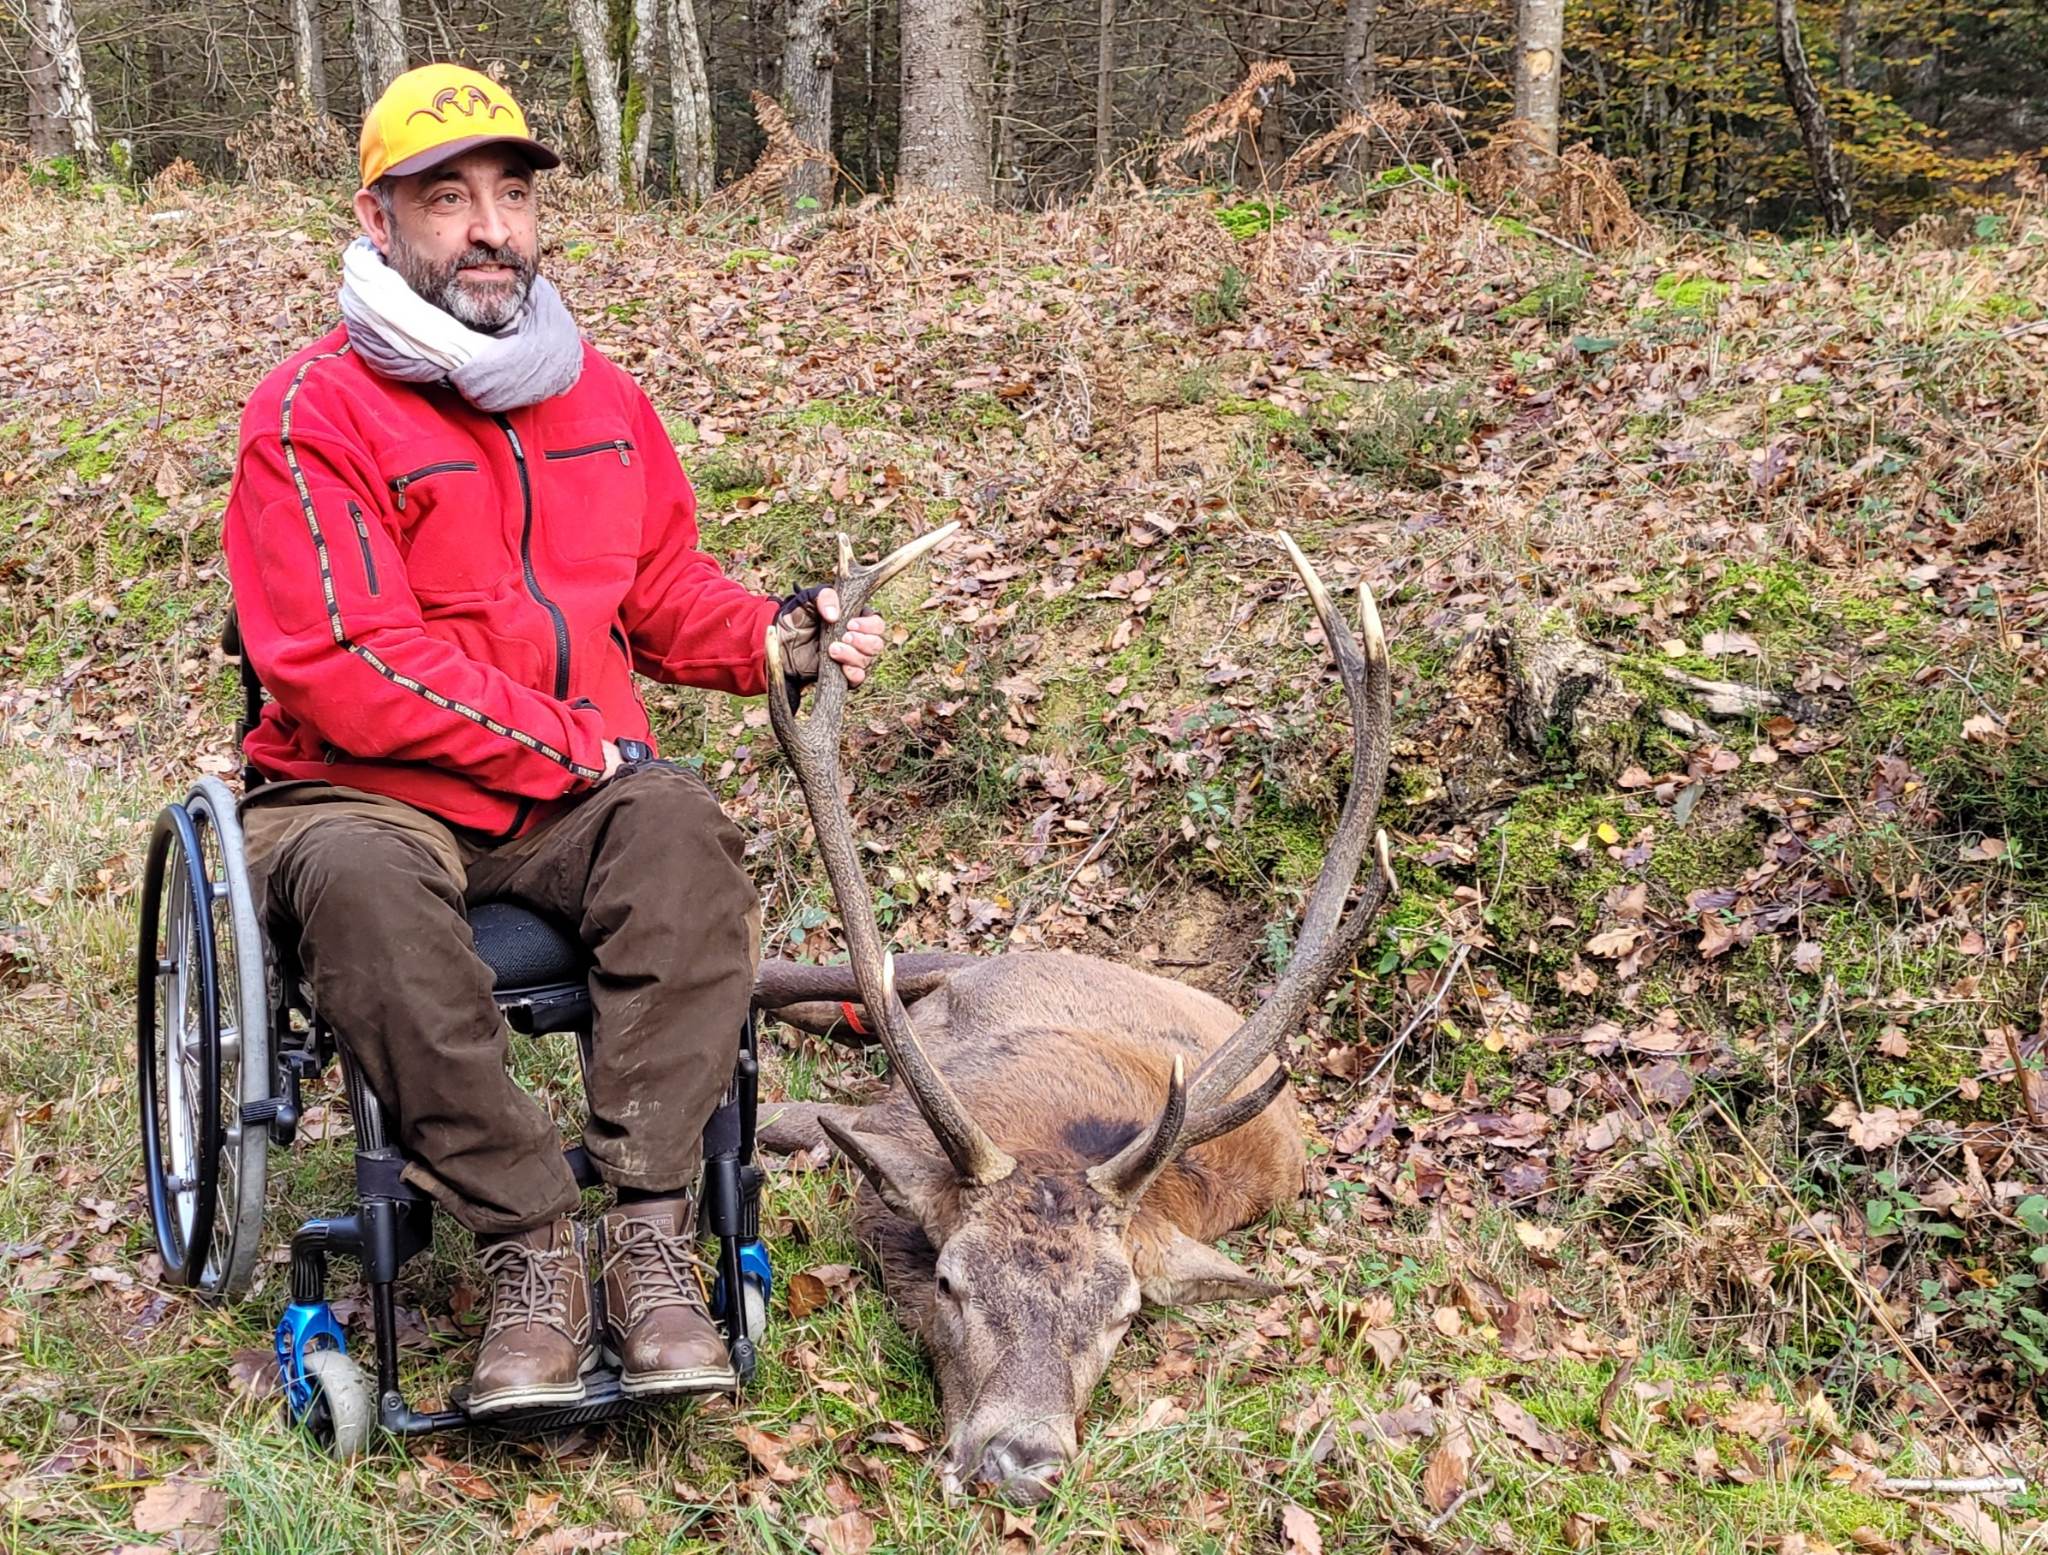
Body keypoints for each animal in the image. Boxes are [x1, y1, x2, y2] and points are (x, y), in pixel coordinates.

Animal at [753, 524, 1392, 1507]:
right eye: (951, 1280)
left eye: (1124, 1313)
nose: (1021, 1459)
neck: (1051, 1135)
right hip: (975, 966)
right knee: (824, 975)